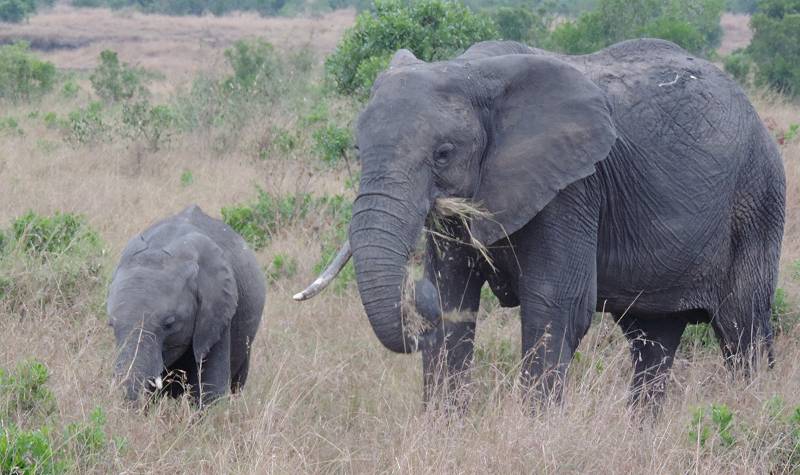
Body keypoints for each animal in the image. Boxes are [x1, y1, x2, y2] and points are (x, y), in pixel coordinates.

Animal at [296, 39, 788, 408]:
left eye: (443, 154)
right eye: (357, 150)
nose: (416, 294)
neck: (472, 72)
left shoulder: (574, 187)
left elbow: (556, 306)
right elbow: (455, 296)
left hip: (758, 198)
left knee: (742, 328)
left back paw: (751, 411)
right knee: (653, 338)